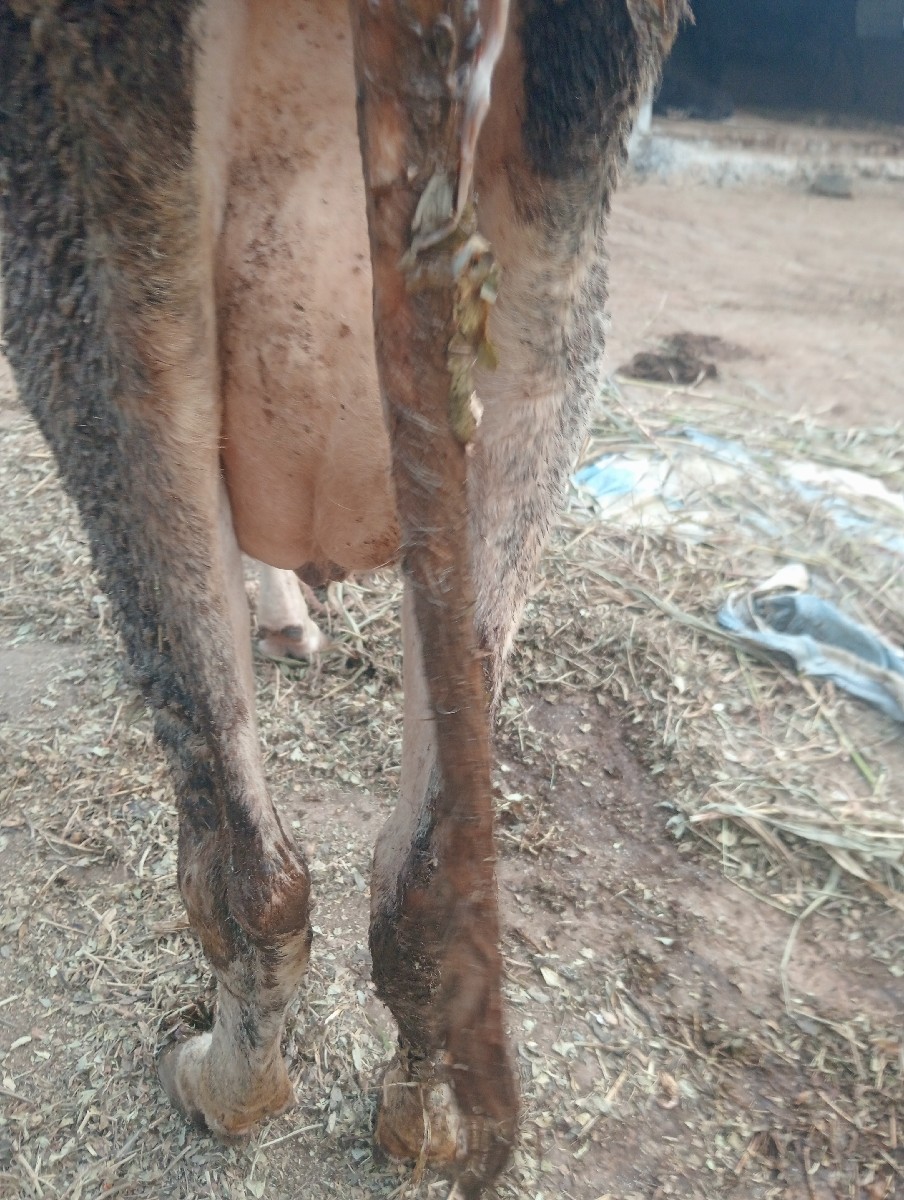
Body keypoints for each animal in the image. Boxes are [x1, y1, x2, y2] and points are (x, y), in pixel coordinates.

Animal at [0, 0, 683, 1193]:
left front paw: (285, 616)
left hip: (83, 232)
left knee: (240, 859)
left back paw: (215, 1086)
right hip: (557, 270)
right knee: (419, 878)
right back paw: (424, 1127)